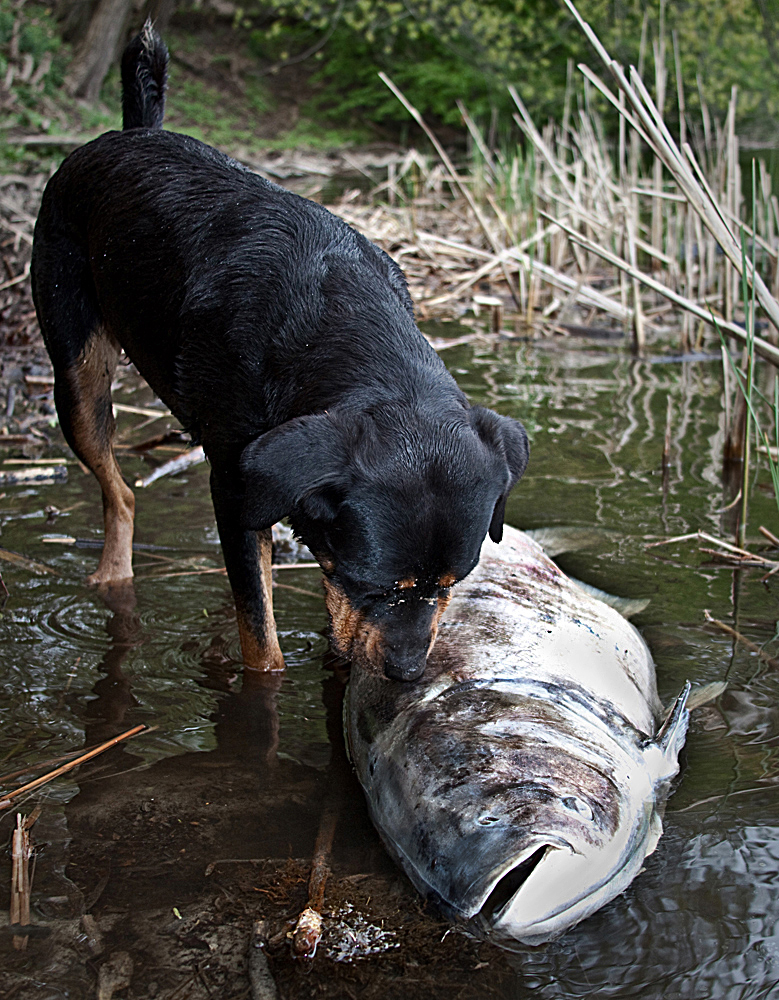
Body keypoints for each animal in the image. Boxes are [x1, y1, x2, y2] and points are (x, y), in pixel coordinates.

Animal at [32, 25, 532, 680]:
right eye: (372, 584)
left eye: (454, 583)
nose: (406, 673)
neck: (337, 327)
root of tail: (132, 132)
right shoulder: (237, 488)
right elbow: (261, 642)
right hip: (76, 373)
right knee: (120, 490)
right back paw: (112, 575)